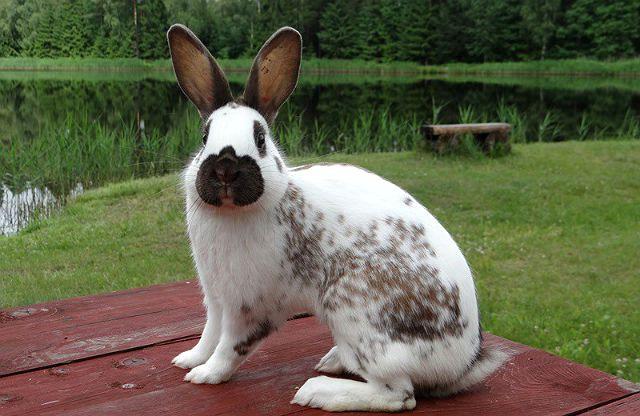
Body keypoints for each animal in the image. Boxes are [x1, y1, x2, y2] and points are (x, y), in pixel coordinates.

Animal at [166, 24, 508, 412]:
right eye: (204, 135)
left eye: (260, 138)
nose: (225, 167)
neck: (231, 212)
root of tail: (462, 364)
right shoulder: (216, 296)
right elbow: (210, 333)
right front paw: (190, 359)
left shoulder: (251, 305)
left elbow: (230, 347)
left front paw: (206, 375)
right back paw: (332, 361)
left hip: (355, 317)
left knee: (399, 395)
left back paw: (317, 390)